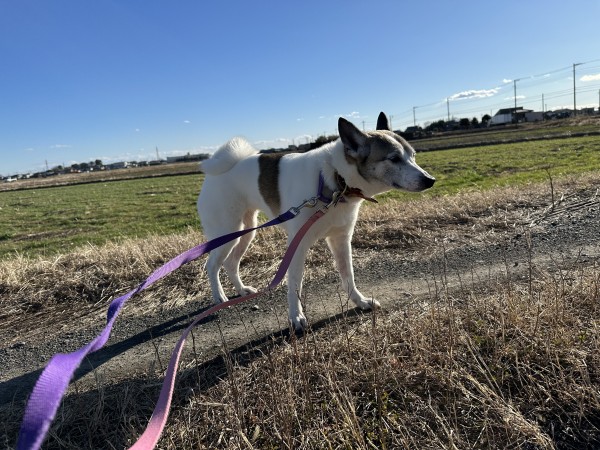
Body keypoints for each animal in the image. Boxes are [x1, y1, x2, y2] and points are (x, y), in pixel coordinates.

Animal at [198, 112, 436, 330]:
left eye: (413, 155)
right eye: (393, 158)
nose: (430, 180)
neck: (335, 181)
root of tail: (219, 171)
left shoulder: (341, 240)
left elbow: (348, 276)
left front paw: (360, 301)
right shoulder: (298, 245)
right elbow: (295, 283)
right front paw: (296, 317)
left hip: (246, 231)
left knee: (230, 263)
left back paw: (241, 290)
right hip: (227, 232)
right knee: (212, 265)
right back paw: (219, 297)